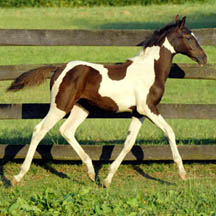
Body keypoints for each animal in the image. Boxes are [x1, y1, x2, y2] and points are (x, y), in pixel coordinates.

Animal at [8, 15, 208, 187]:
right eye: (188, 37)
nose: (204, 58)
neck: (149, 70)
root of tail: (59, 68)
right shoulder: (148, 108)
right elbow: (169, 132)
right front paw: (182, 174)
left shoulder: (138, 113)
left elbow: (129, 143)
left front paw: (107, 179)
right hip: (60, 107)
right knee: (39, 130)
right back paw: (18, 177)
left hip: (81, 109)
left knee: (67, 130)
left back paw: (90, 172)